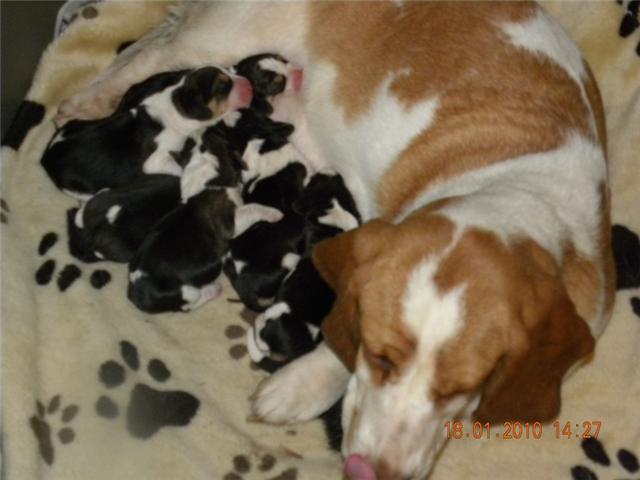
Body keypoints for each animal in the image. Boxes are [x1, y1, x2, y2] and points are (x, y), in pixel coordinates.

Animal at [43, 66, 252, 199]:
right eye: (222, 87)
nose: (249, 85)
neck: (175, 105)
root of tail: (46, 156)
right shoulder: (155, 161)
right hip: (80, 190)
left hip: (75, 124)